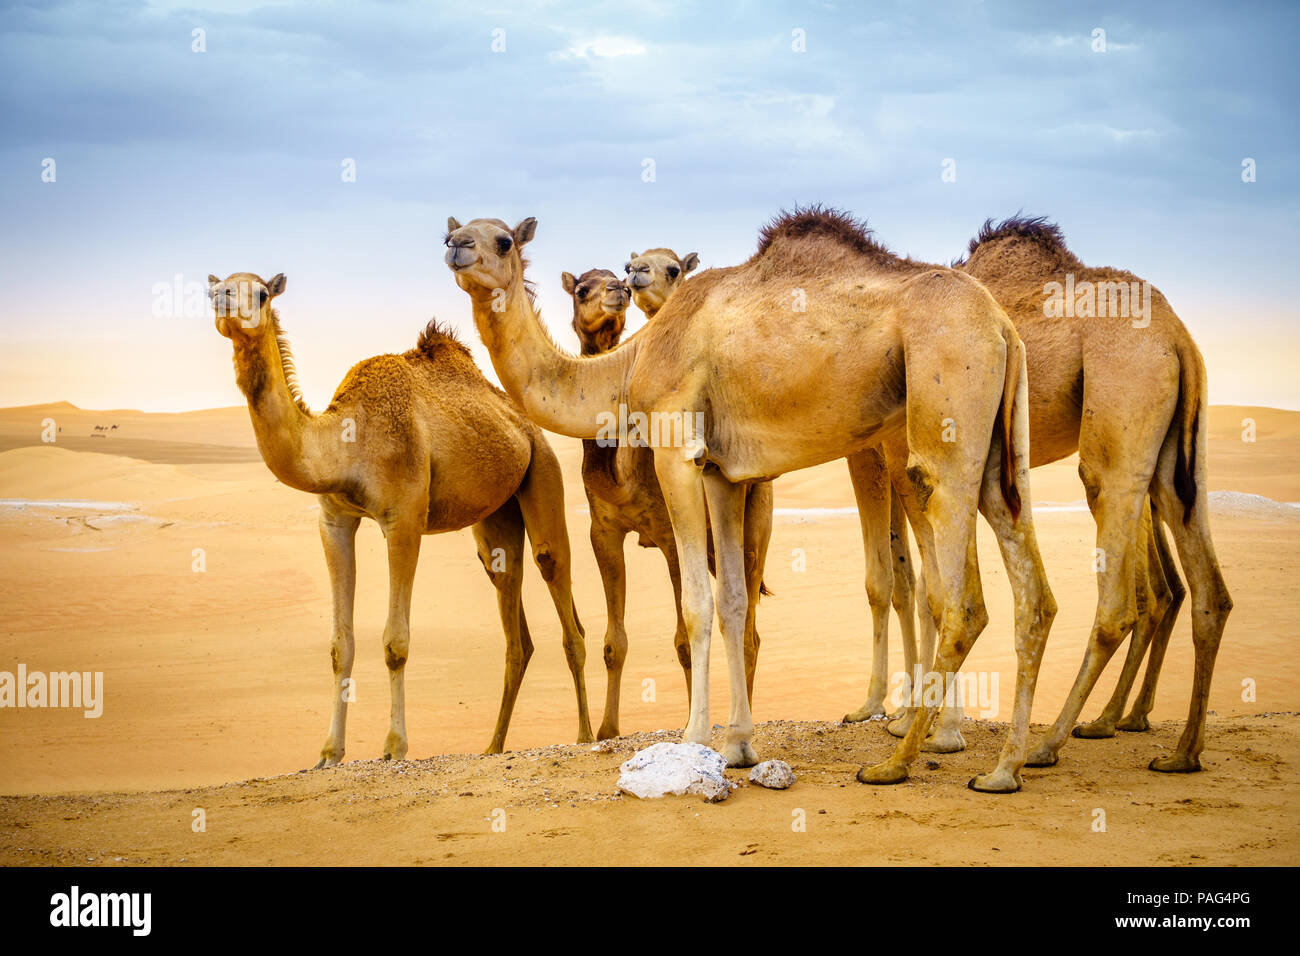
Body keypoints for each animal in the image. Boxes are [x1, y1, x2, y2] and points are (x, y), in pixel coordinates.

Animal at [208, 273, 595, 764]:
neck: (344, 445)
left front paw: (394, 745)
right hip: (495, 517)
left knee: (560, 592)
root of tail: (524, 424)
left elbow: (396, 643)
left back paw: (585, 735)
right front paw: (329, 752)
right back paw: (492, 746)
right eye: (217, 287)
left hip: (542, 470)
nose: (221, 300)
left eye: (259, 292)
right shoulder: (334, 520)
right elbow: (340, 646)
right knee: (513, 621)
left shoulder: (404, 517)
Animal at [561, 269, 764, 738]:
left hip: (757, 517)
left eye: (615, 278)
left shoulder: (670, 535)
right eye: (582, 289)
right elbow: (614, 642)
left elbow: (684, 639)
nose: (619, 290)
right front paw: (607, 730)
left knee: (750, 626)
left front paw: (693, 721)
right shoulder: (603, 530)